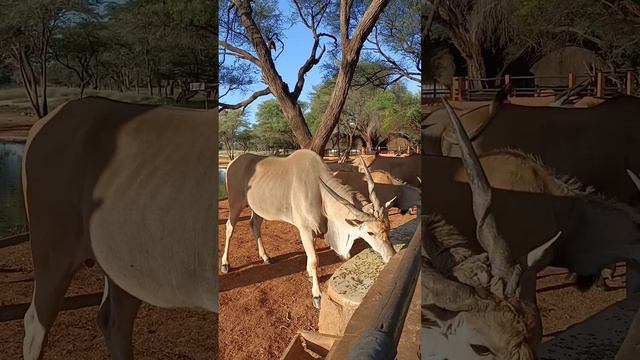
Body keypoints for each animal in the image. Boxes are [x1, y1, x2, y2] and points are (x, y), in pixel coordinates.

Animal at [222, 149, 398, 306]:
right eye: (370, 232)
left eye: (388, 228)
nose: (391, 257)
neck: (321, 192)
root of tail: (233, 162)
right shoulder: (305, 230)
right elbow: (314, 260)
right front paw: (316, 295)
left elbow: (310, 258)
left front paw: (310, 276)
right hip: (235, 204)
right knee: (229, 227)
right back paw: (225, 264)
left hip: (258, 209)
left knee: (254, 225)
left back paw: (265, 257)